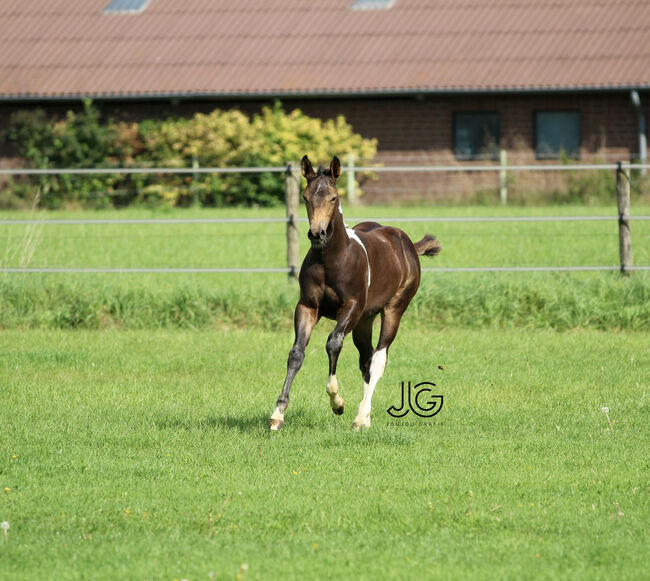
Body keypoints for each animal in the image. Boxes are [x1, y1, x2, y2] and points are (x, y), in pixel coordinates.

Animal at [268, 156, 440, 428]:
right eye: (305, 197)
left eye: (333, 197)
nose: (317, 234)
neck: (331, 260)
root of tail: (409, 244)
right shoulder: (308, 307)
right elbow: (296, 353)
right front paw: (278, 414)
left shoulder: (351, 307)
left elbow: (333, 342)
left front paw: (337, 402)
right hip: (364, 320)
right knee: (366, 359)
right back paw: (365, 417)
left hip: (393, 309)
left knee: (379, 358)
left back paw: (360, 418)